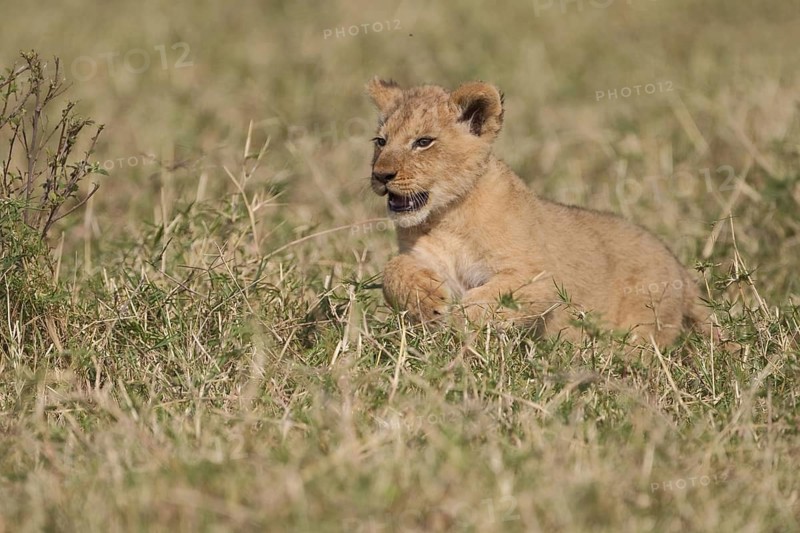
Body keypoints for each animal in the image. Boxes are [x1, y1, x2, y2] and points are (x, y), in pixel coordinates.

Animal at [366, 78, 710, 346]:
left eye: (423, 141)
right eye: (381, 141)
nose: (380, 175)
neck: (446, 217)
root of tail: (680, 269)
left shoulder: (541, 280)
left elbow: (484, 302)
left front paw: (460, 329)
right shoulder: (423, 257)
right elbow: (392, 269)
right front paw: (425, 301)